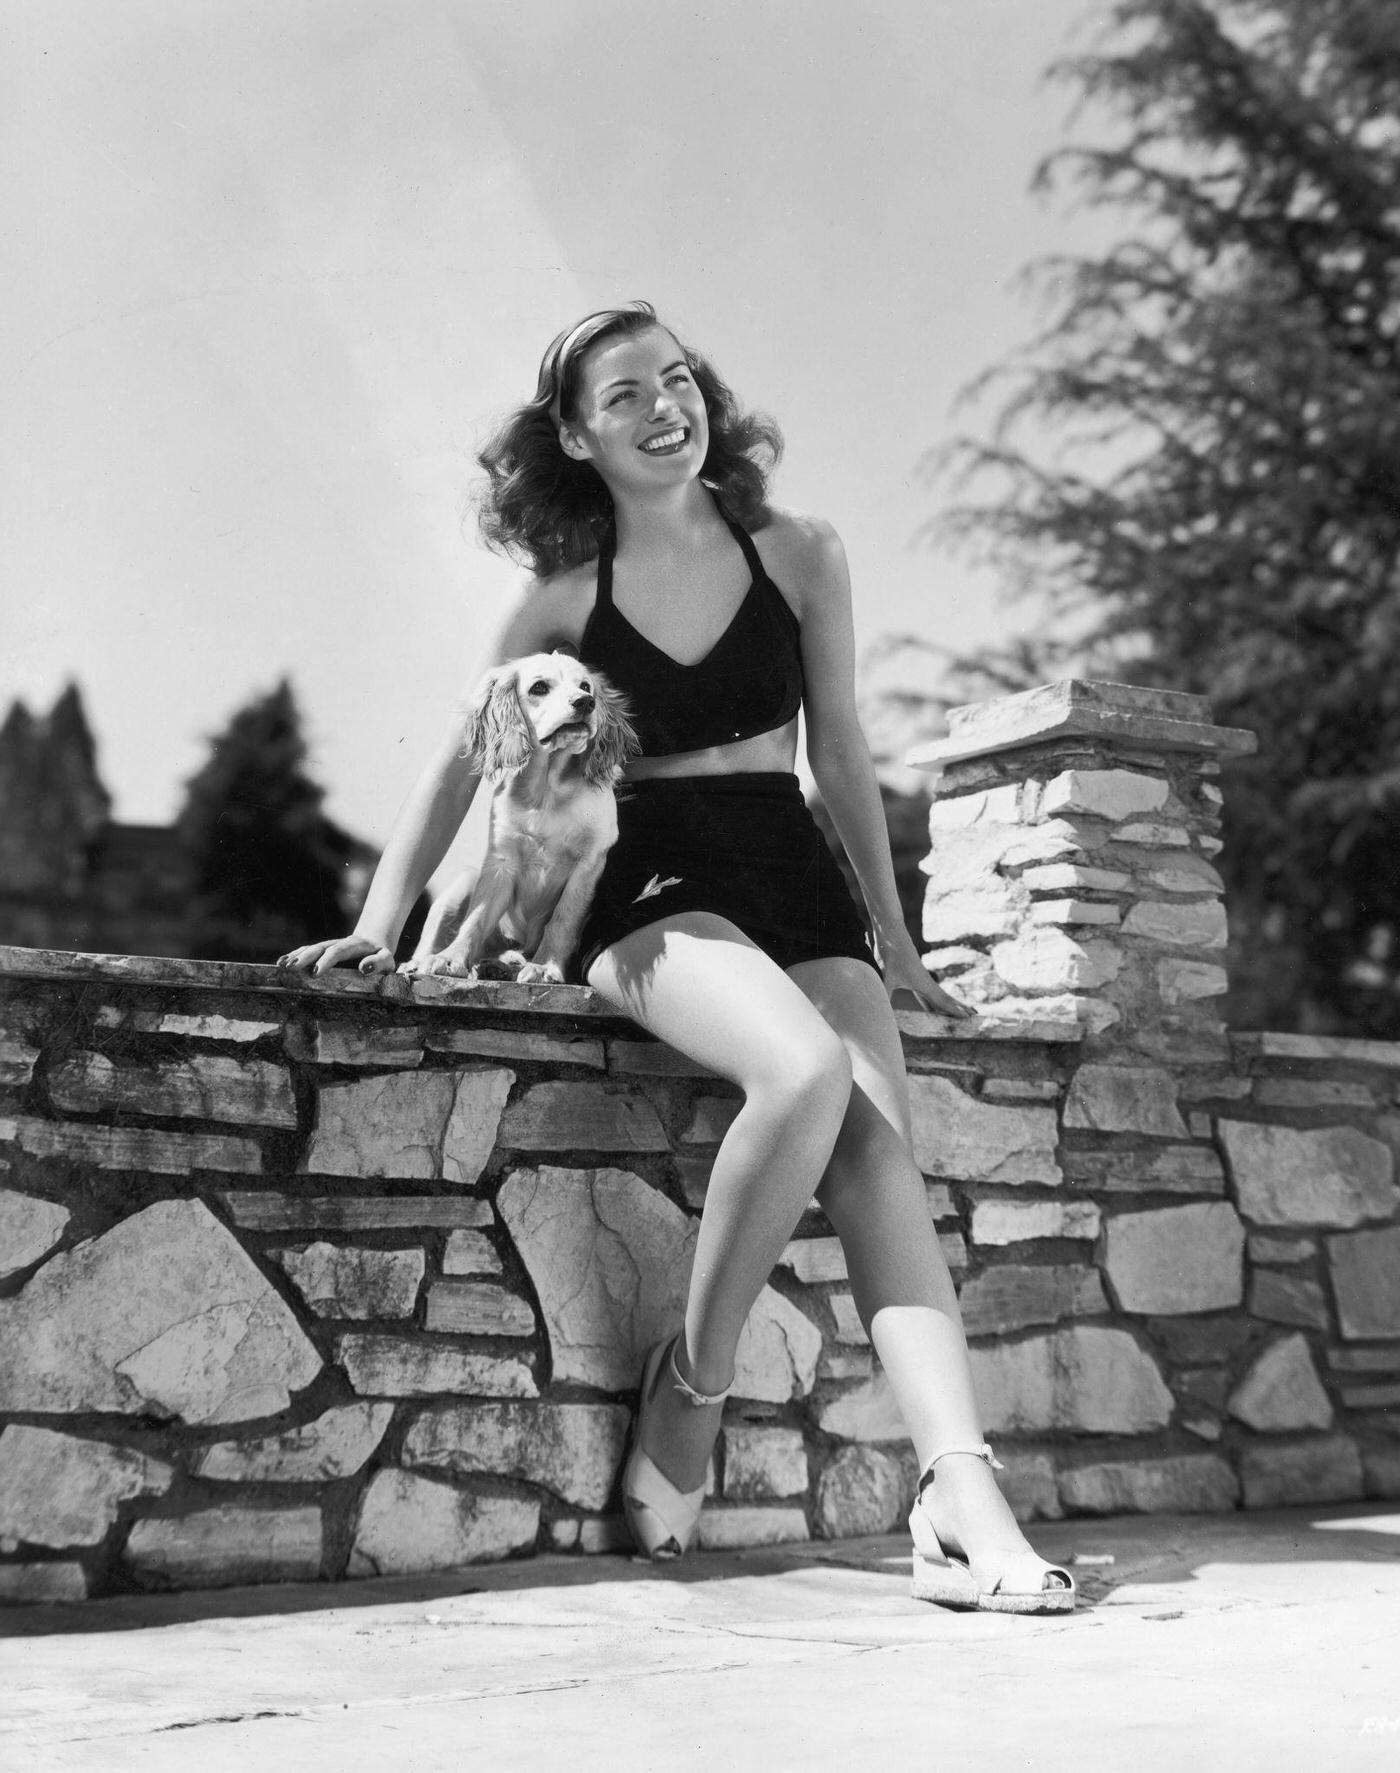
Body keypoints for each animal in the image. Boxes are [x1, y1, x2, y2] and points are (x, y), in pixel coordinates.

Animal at [402, 652, 637, 985]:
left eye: (585, 686)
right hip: (462, 882)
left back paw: (506, 962)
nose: (586, 703)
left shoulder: (588, 863)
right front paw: (450, 958)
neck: (546, 792)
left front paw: (545, 966)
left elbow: (563, 919)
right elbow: (476, 916)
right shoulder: (501, 859)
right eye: (539, 687)